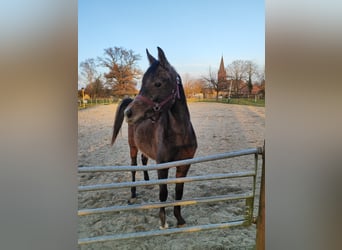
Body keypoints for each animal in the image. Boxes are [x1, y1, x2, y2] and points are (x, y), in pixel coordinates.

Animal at [111, 47, 198, 229]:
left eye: (158, 83)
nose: (128, 113)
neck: (179, 135)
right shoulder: (162, 166)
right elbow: (163, 193)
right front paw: (163, 221)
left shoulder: (184, 165)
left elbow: (179, 192)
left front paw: (179, 219)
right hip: (132, 147)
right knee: (133, 166)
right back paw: (133, 193)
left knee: (144, 160)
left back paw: (146, 180)